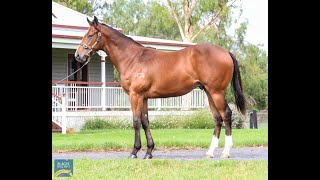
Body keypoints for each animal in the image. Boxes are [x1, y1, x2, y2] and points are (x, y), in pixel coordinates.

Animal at [74, 15, 245, 159]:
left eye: (90, 35)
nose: (78, 55)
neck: (133, 58)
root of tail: (226, 52)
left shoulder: (135, 95)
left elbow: (136, 121)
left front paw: (134, 152)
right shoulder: (143, 97)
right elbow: (145, 122)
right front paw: (149, 151)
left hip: (216, 93)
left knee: (226, 115)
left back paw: (225, 152)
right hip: (209, 92)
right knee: (217, 118)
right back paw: (210, 152)